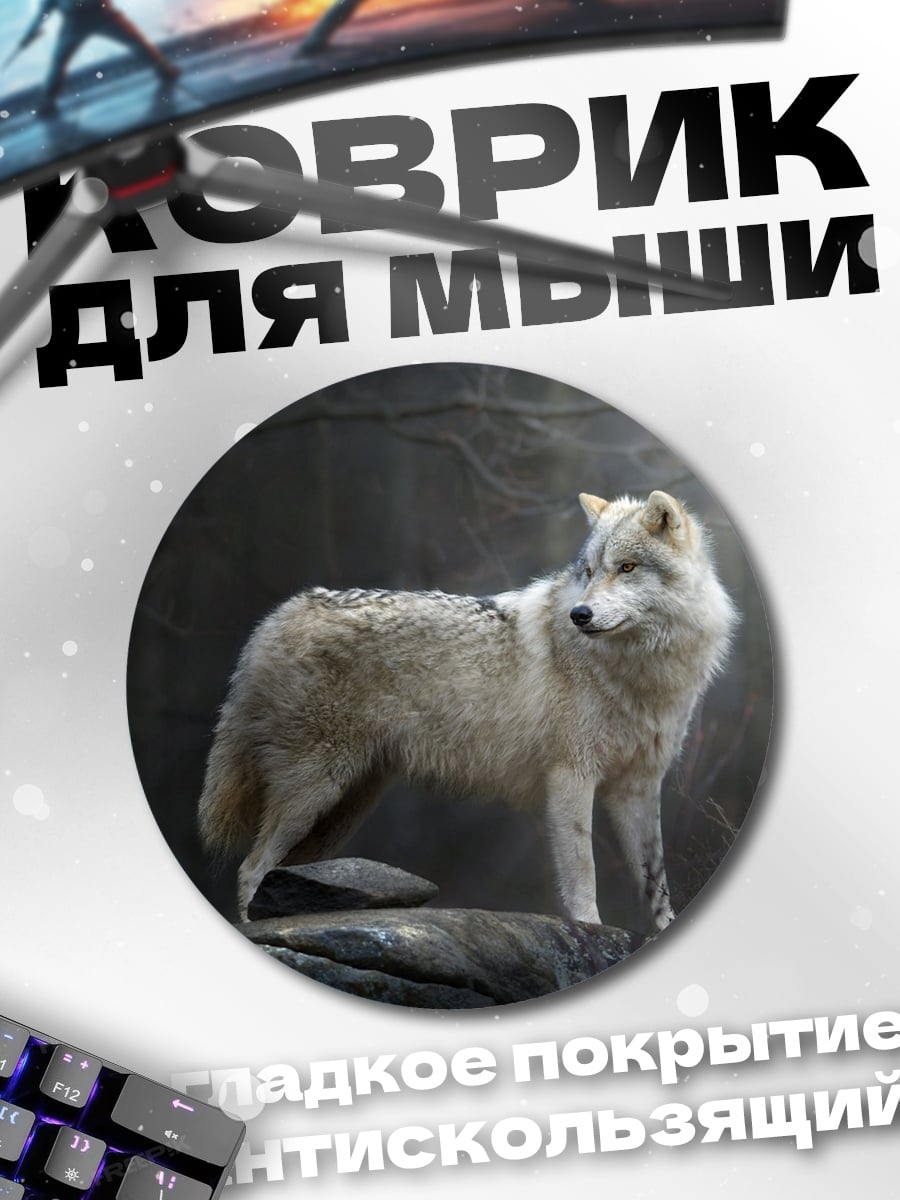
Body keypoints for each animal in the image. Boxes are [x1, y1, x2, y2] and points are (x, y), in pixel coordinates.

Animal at [199, 490, 737, 930]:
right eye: (588, 571)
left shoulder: (639, 788)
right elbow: (583, 871)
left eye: (626, 568)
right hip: (315, 791)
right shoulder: (571, 776)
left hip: (338, 812)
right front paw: (591, 930)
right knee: (252, 867)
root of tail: (279, 617)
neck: (642, 671)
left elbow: (656, 883)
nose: (579, 615)